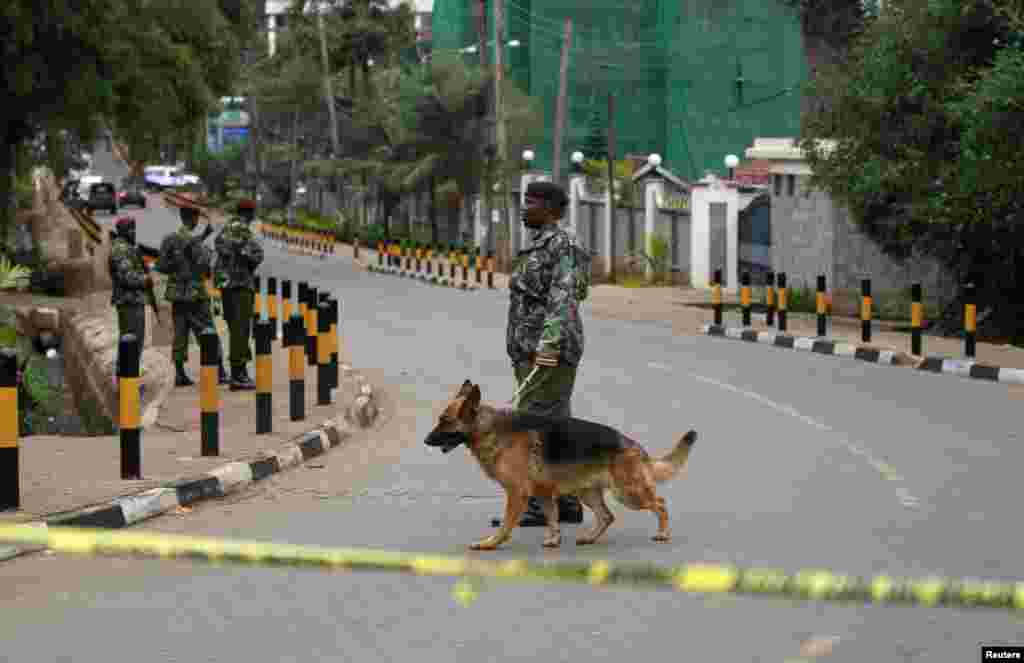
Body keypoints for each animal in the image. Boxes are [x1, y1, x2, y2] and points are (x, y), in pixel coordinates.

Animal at [423, 381, 696, 553]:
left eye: (444, 421)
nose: (425, 441)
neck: (489, 428)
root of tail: (634, 446)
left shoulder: (517, 493)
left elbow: (506, 524)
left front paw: (491, 543)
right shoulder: (543, 492)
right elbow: (553, 518)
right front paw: (554, 540)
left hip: (629, 493)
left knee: (660, 503)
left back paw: (663, 533)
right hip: (587, 492)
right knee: (607, 516)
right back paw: (589, 538)